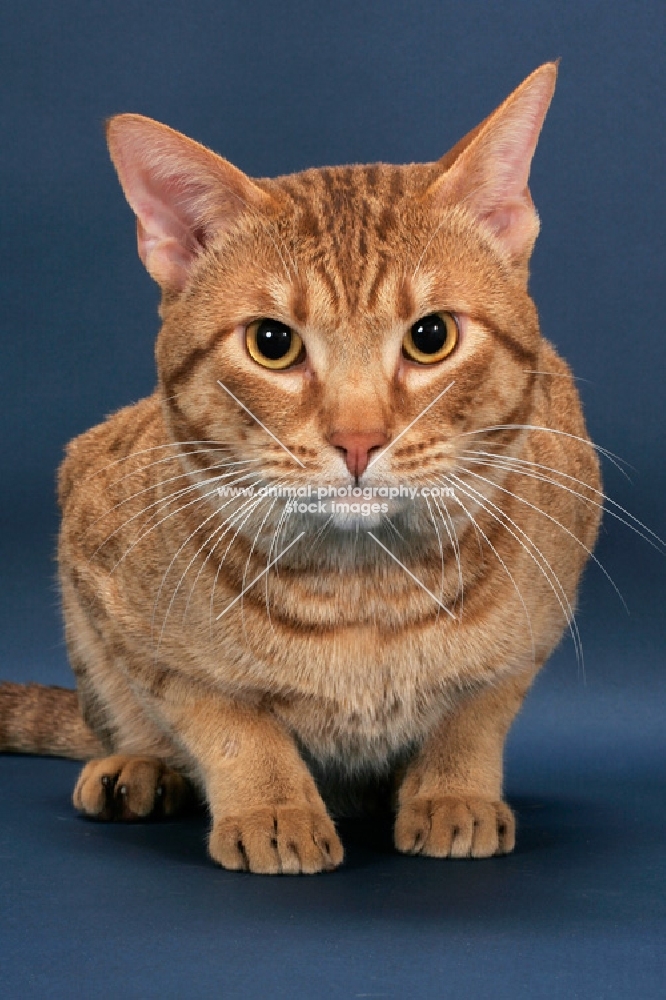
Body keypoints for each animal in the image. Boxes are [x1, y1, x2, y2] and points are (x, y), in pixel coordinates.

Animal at [0, 64, 600, 876]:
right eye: (273, 343)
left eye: (432, 336)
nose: (357, 440)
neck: (364, 597)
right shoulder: (99, 565)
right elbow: (221, 714)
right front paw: (273, 805)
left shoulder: (544, 610)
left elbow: (477, 708)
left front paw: (453, 790)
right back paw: (138, 766)